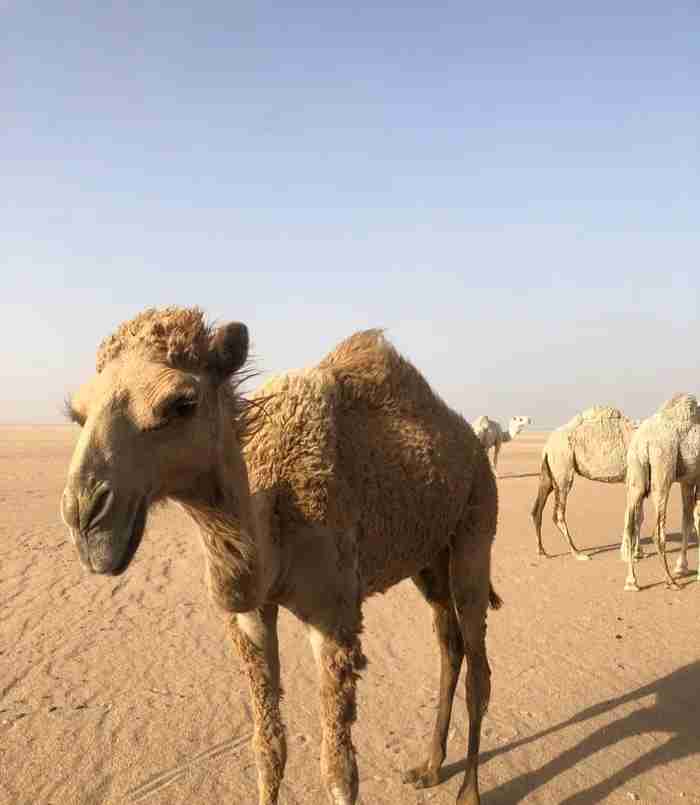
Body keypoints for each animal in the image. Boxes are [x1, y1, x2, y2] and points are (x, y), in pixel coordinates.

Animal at [61, 308, 504, 804]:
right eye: (77, 413)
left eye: (182, 402)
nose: (85, 516)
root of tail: (468, 437)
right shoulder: (253, 614)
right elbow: (269, 749)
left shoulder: (334, 617)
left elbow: (339, 770)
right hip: (428, 557)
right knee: (449, 644)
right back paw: (429, 767)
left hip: (476, 523)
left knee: (478, 665)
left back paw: (468, 792)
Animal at [532, 406, 644, 564]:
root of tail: (547, 446)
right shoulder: (633, 479)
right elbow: (632, 516)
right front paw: (629, 554)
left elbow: (638, 517)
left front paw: (637, 552)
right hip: (563, 466)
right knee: (558, 513)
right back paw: (578, 553)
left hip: (548, 472)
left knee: (537, 509)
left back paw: (542, 551)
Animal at [620, 394, 696, 592]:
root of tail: (643, 442)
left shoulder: (688, 479)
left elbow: (688, 519)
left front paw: (682, 567)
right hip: (663, 466)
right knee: (657, 529)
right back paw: (670, 580)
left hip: (635, 469)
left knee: (630, 525)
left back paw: (631, 581)